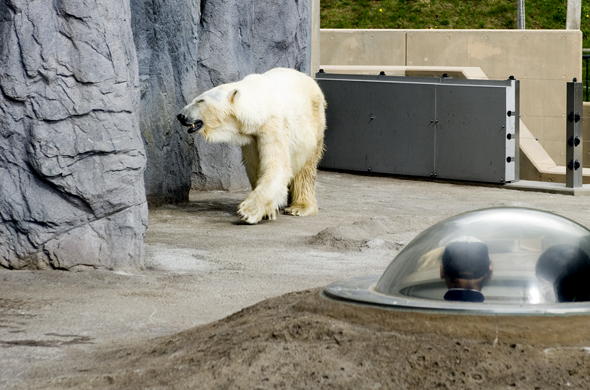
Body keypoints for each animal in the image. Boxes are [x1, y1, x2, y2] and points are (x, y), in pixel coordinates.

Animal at [177, 68, 328, 224]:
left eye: (200, 101)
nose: (180, 115)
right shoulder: (251, 138)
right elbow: (255, 167)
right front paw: (268, 212)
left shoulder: (273, 126)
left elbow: (277, 167)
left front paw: (247, 211)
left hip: (315, 126)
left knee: (306, 170)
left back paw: (299, 207)